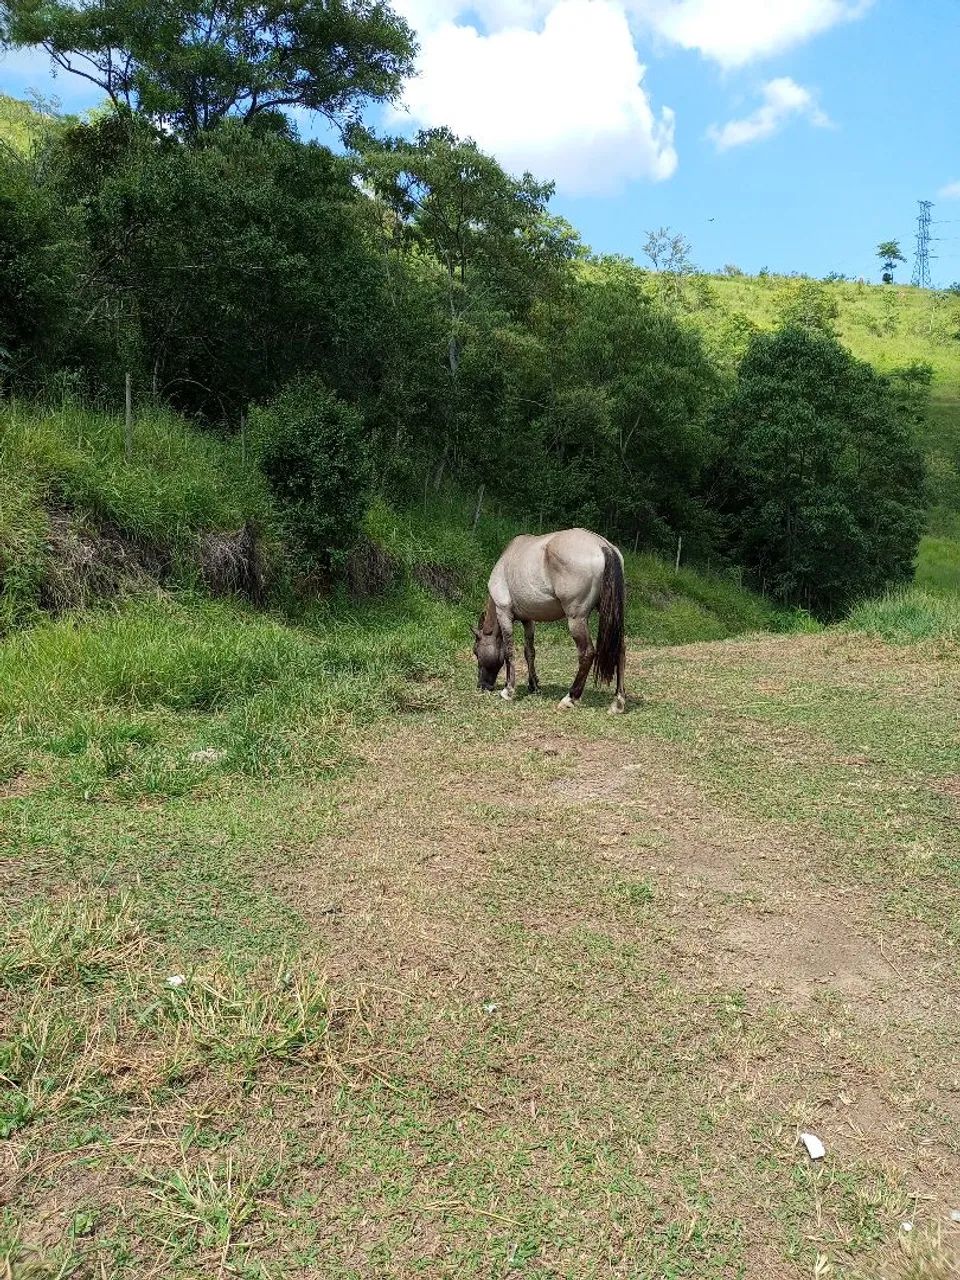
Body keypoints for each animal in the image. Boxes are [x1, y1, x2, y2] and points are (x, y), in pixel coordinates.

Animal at [471, 528, 627, 714]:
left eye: (476, 652)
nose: (482, 685)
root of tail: (603, 546)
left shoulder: (504, 614)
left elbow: (509, 652)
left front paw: (508, 690)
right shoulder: (528, 620)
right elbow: (529, 652)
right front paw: (534, 686)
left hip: (576, 619)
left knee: (587, 653)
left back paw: (570, 698)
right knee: (620, 651)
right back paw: (618, 701)